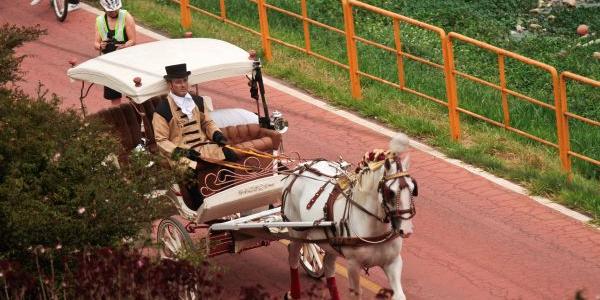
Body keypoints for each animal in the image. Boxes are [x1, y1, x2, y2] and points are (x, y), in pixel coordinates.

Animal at [282, 134, 418, 300]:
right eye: (390, 192)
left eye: (413, 188)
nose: (407, 230)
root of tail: (300, 169)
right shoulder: (353, 265)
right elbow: (356, 293)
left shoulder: (393, 263)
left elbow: (400, 295)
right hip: (296, 231)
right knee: (293, 256)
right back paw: (294, 293)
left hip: (330, 245)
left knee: (328, 266)